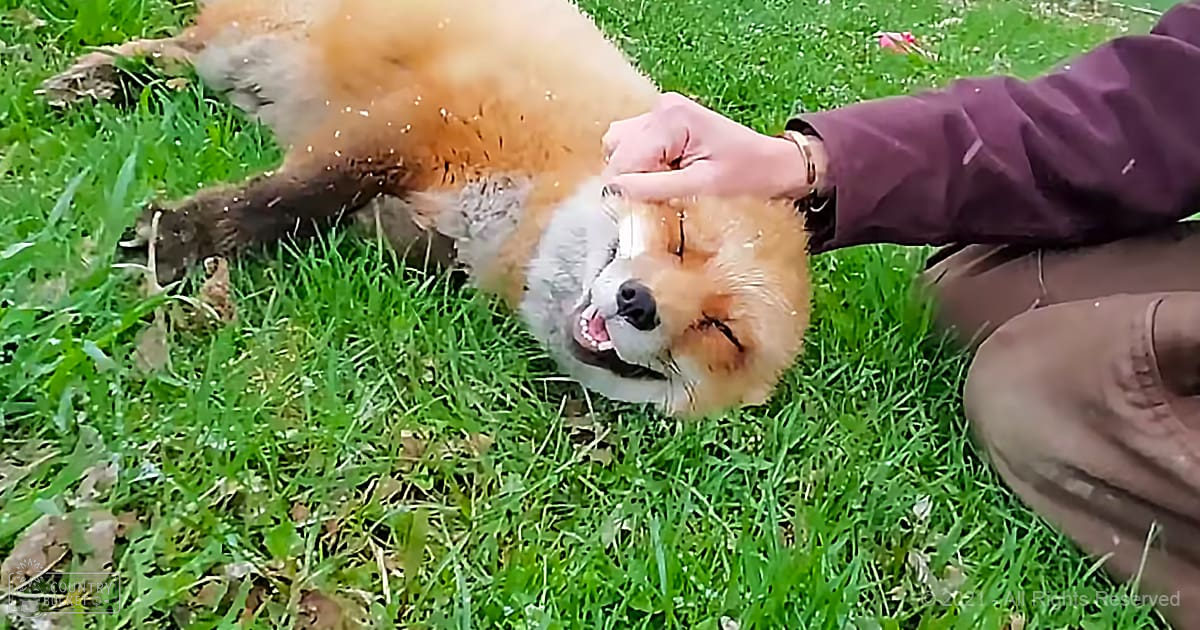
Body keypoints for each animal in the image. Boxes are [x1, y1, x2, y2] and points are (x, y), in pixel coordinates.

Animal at [41, 0, 812, 416]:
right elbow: (289, 199)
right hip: (245, 46)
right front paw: (179, 237)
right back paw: (98, 77)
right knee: (177, 50)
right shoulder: (410, 120)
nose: (639, 302)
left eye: (722, 332)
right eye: (680, 234)